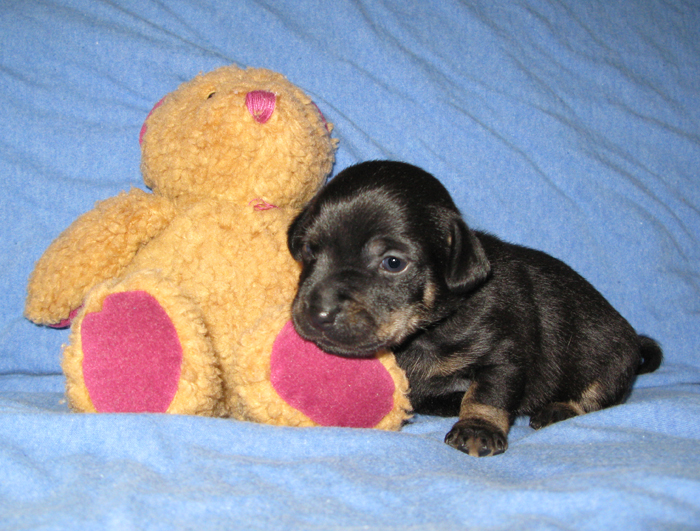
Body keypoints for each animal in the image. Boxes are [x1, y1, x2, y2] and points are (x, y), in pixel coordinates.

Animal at [286, 159, 660, 458]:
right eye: (308, 250)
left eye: (393, 263)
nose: (318, 313)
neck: (432, 326)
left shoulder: (502, 355)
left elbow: (486, 394)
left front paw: (477, 429)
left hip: (609, 358)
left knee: (598, 396)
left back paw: (558, 409)